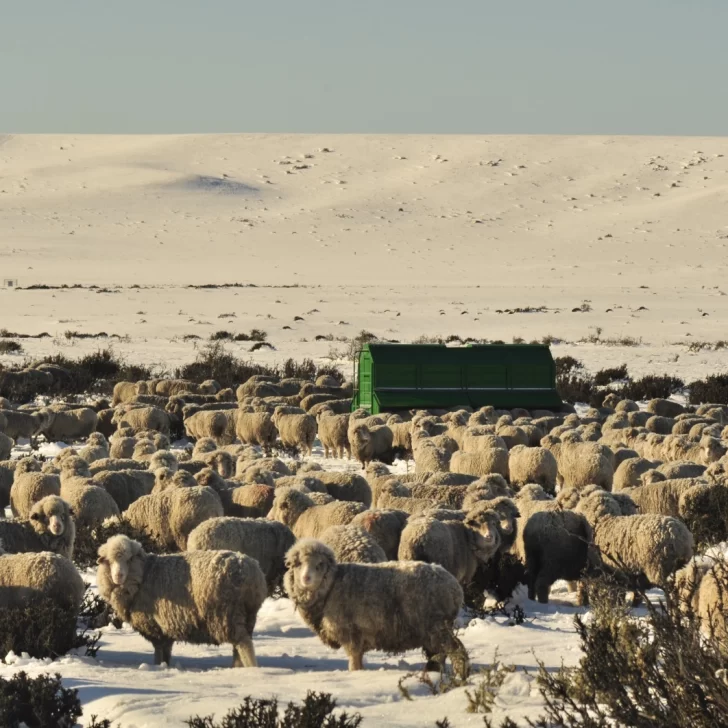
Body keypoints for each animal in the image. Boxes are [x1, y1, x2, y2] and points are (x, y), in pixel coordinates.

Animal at [96, 532, 266, 668]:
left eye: (130, 559)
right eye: (109, 561)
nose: (118, 576)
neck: (144, 574)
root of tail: (252, 572)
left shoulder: (155, 625)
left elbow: (159, 651)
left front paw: (158, 667)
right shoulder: (165, 627)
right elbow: (165, 652)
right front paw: (164, 666)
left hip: (227, 614)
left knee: (243, 643)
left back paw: (251, 669)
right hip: (247, 614)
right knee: (240, 644)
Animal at [284, 536, 466, 672]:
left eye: (320, 564)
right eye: (297, 564)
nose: (306, 578)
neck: (332, 585)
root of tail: (455, 586)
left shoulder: (351, 632)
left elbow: (354, 659)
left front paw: (355, 673)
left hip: (437, 626)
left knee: (455, 650)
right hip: (433, 629)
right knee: (438, 654)